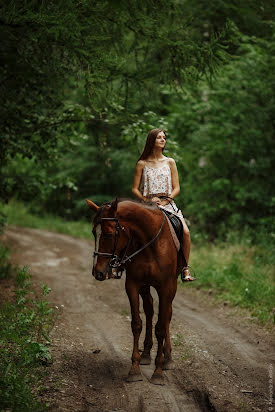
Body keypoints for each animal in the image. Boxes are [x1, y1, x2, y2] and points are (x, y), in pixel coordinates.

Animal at [86, 198, 184, 384]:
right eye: (94, 233)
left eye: (109, 234)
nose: (98, 272)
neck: (151, 243)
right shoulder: (133, 285)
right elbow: (136, 324)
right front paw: (134, 369)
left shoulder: (166, 287)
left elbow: (161, 327)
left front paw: (158, 372)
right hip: (145, 287)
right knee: (149, 310)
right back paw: (145, 354)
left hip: (172, 288)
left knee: (167, 315)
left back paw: (168, 359)